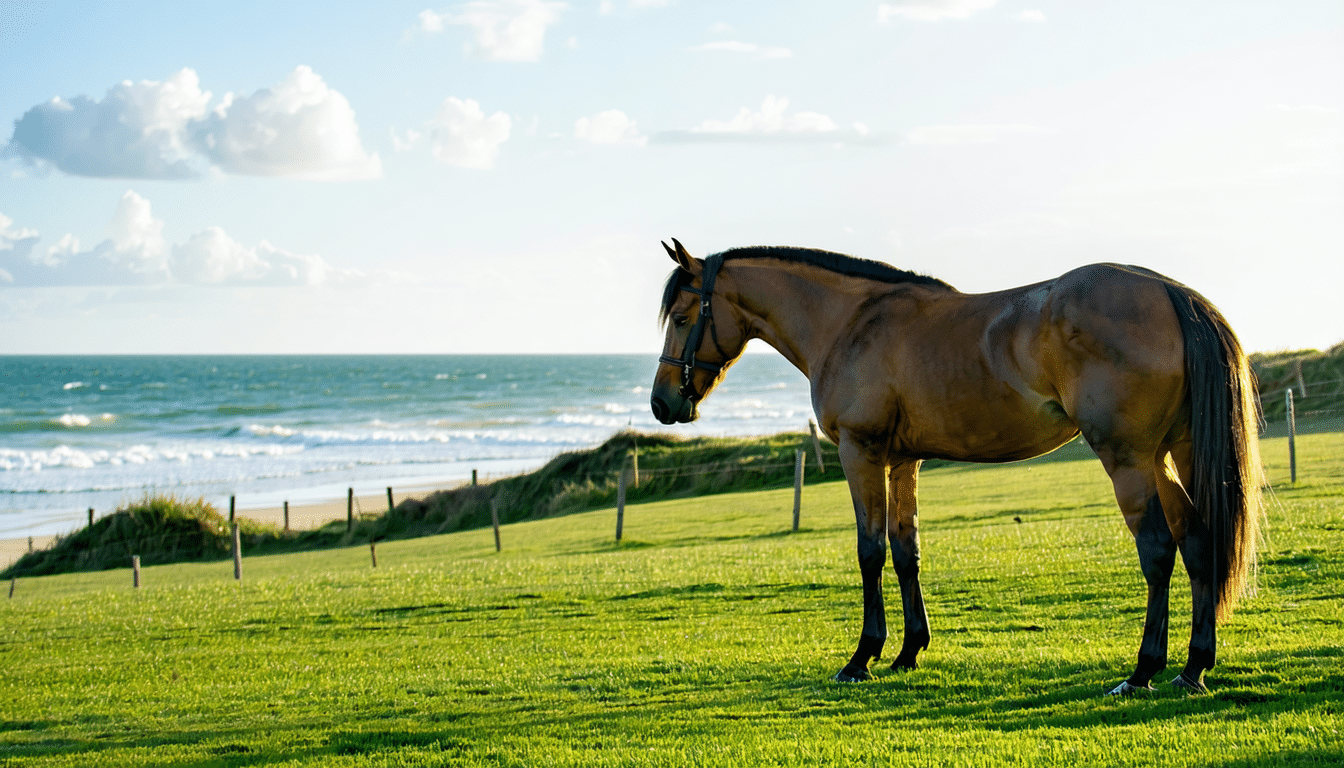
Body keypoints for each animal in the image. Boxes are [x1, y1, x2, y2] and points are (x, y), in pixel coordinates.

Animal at [649, 239, 1262, 695]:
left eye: (680, 316)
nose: (662, 403)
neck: (850, 323)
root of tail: (1168, 291)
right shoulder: (902, 460)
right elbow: (906, 552)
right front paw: (907, 652)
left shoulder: (860, 452)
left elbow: (869, 552)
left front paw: (863, 656)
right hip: (1169, 454)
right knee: (1197, 541)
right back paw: (1193, 667)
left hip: (1128, 457)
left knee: (1157, 549)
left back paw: (1143, 670)